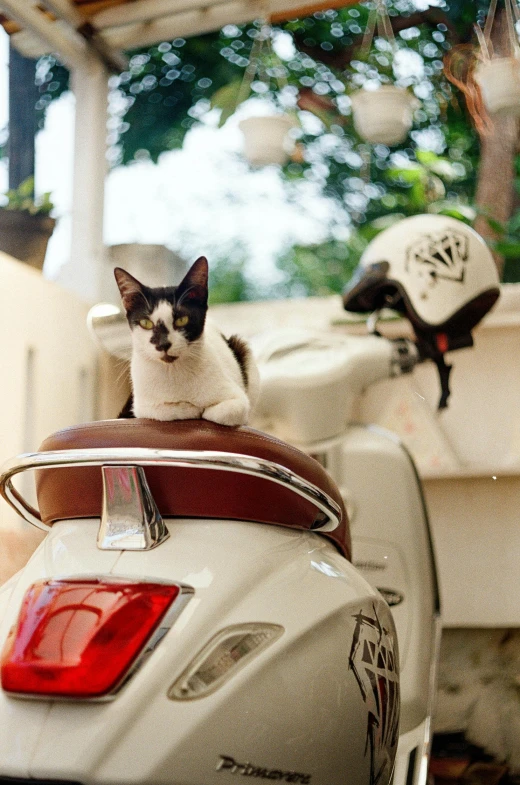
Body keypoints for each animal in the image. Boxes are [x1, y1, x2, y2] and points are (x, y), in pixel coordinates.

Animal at [115, 256, 258, 426]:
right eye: (146, 323)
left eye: (182, 320)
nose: (163, 344)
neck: (173, 373)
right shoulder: (141, 407)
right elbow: (165, 410)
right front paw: (189, 408)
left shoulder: (238, 400)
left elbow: (222, 412)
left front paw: (202, 410)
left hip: (242, 349)